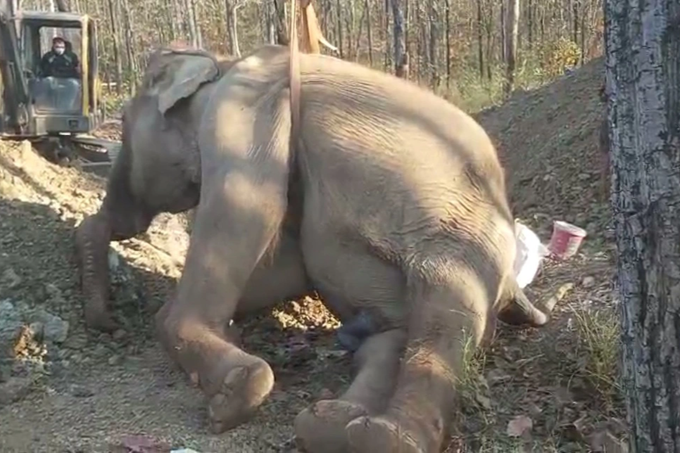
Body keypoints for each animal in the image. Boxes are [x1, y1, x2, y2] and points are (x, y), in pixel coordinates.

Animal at [74, 43, 554, 453]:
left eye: (123, 124)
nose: (108, 324)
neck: (222, 62)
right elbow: (283, 264)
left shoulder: (245, 116)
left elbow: (250, 208)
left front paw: (231, 398)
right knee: (387, 341)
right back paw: (329, 422)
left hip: (464, 242)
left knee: (443, 321)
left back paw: (377, 436)